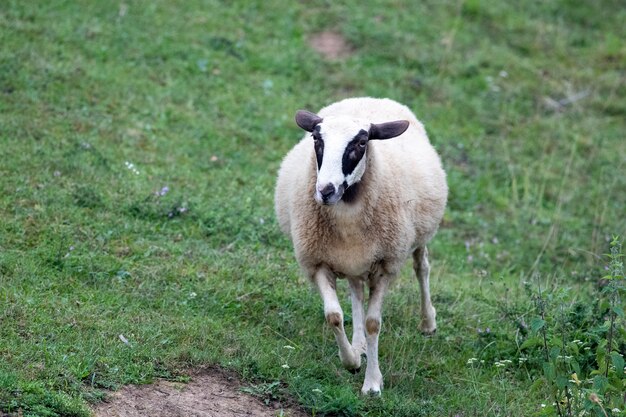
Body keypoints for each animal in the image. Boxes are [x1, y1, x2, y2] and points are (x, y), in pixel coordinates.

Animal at [272, 96, 444, 394]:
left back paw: (427, 322)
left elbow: (374, 323)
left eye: (362, 143)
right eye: (316, 139)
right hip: (355, 260)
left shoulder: (386, 264)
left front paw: (372, 384)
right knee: (356, 293)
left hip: (418, 235)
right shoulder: (317, 262)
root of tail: (371, 98)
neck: (347, 211)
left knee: (421, 268)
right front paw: (351, 360)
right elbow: (334, 315)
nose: (325, 190)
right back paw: (359, 344)